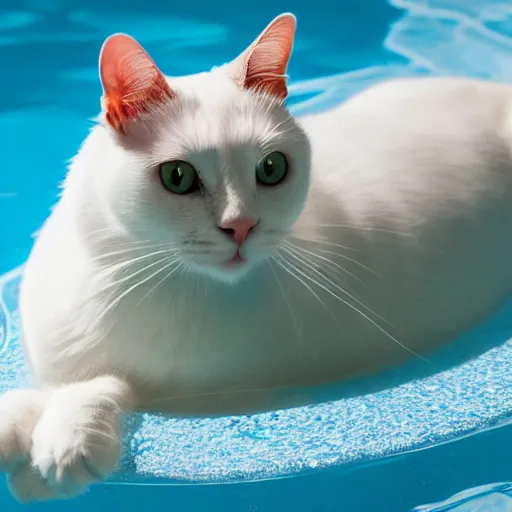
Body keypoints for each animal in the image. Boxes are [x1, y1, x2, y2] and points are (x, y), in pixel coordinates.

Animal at [1, 12, 512, 504]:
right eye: (177, 176)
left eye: (272, 168)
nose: (241, 226)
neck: (124, 280)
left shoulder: (237, 399)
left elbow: (111, 386)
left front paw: (67, 440)